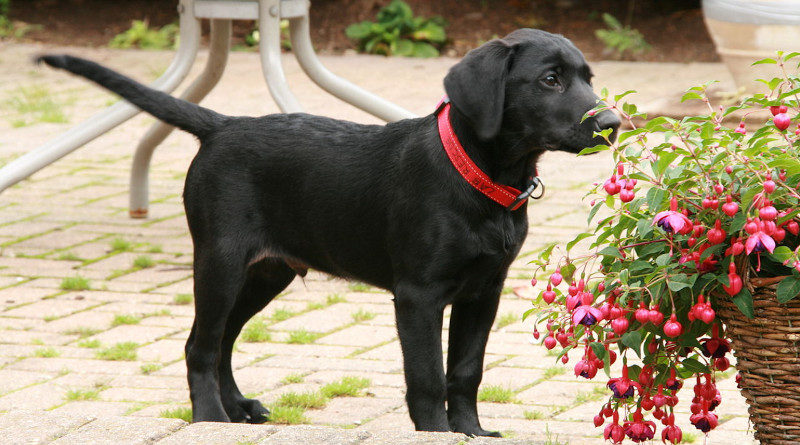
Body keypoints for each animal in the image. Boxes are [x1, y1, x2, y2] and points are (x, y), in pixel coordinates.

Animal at [39, 29, 620, 436]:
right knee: (201, 345)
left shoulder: (485, 291)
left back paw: (237, 407)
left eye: (588, 78)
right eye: (550, 80)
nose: (612, 123)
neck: (481, 177)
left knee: (221, 339)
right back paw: (210, 417)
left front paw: (471, 433)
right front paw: (437, 433)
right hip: (220, 261)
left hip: (266, 271)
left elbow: (465, 371)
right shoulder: (419, 295)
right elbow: (428, 377)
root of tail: (222, 124)